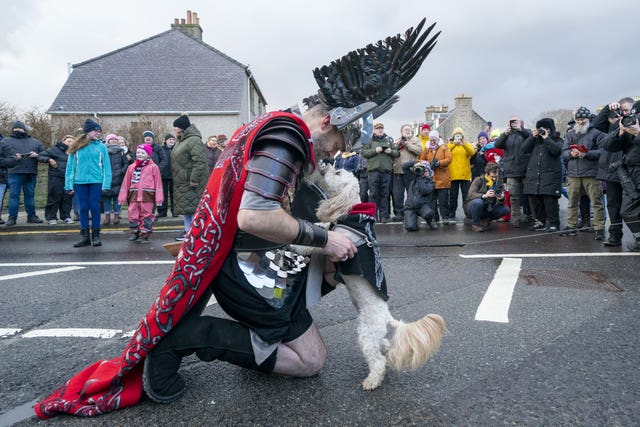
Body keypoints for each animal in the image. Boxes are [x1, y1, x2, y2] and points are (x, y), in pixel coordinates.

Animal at [304, 165, 444, 392]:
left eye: (338, 173)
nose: (325, 164)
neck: (354, 212)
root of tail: (387, 317)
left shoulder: (339, 245)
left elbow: (320, 242)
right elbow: (324, 226)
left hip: (366, 334)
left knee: (377, 360)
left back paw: (372, 381)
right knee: (383, 347)